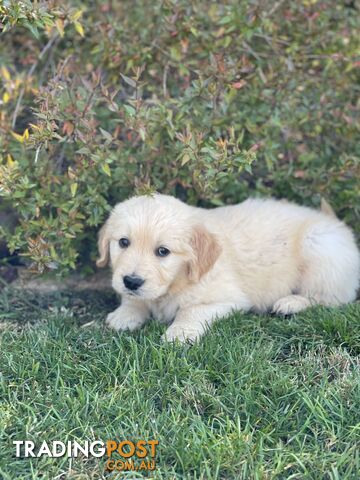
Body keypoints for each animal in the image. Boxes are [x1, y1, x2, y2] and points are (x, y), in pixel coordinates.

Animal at [97, 192, 358, 342]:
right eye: (123, 242)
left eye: (163, 251)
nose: (131, 281)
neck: (177, 281)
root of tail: (334, 222)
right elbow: (135, 300)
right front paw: (125, 314)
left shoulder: (229, 300)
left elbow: (190, 310)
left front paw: (180, 332)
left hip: (319, 246)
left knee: (330, 298)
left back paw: (291, 303)